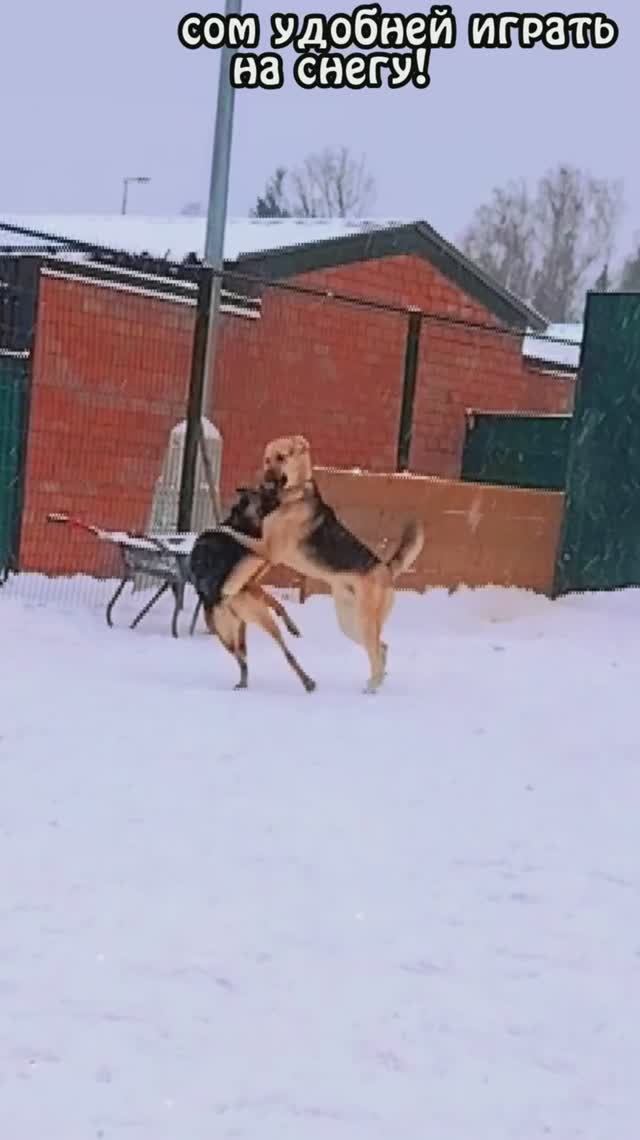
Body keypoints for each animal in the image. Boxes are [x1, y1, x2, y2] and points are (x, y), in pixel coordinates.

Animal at [188, 483, 314, 693]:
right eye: (265, 492)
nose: (280, 491)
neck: (239, 522)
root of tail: (219, 594)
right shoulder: (254, 579)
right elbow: (277, 603)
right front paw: (292, 625)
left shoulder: (252, 583)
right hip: (261, 617)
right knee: (286, 652)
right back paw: (308, 681)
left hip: (229, 637)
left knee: (242, 660)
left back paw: (243, 683)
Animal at [215, 435, 424, 688]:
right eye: (267, 459)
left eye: (281, 457)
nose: (265, 480)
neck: (293, 495)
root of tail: (385, 569)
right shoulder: (269, 555)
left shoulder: (268, 548)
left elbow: (235, 535)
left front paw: (219, 531)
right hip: (349, 622)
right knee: (381, 647)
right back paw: (375, 683)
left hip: (364, 620)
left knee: (376, 650)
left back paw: (372, 688)